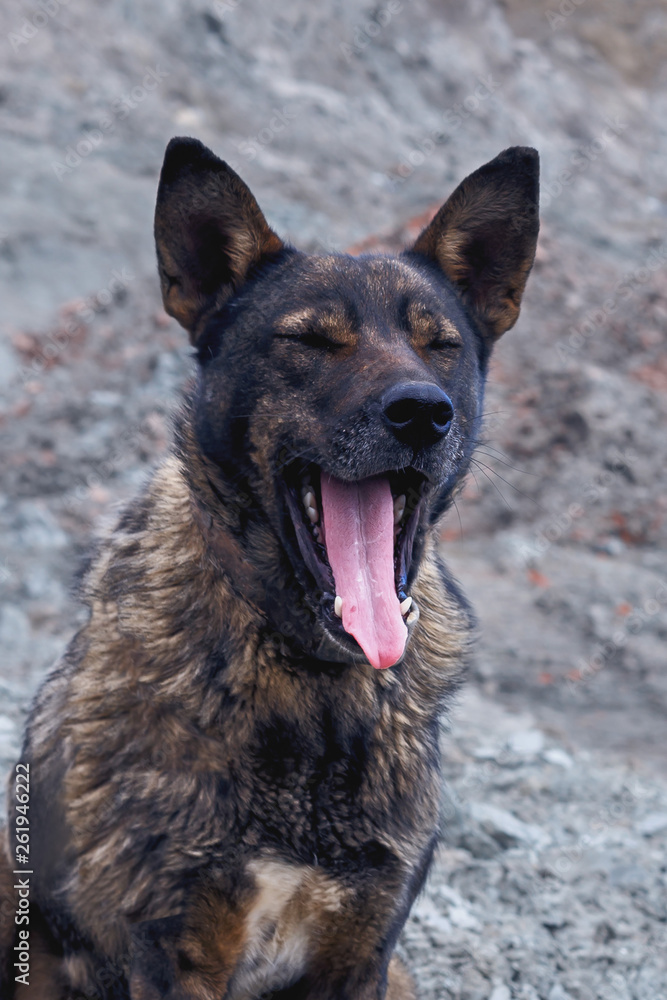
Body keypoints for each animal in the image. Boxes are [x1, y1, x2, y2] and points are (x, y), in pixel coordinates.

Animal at [1, 141, 536, 1000]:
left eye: (440, 345)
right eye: (310, 342)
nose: (423, 412)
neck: (312, 680)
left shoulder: (364, 951)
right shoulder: (177, 947)